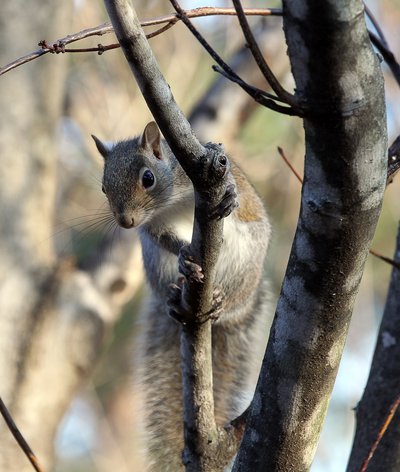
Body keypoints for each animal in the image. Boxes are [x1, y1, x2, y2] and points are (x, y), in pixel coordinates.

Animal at [92, 122, 270, 472]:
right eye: (104, 188)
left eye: (148, 178)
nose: (125, 221)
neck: (170, 202)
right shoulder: (154, 230)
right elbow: (166, 240)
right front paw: (184, 258)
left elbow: (235, 193)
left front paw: (230, 197)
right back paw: (177, 299)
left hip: (247, 262)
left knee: (234, 296)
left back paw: (221, 302)